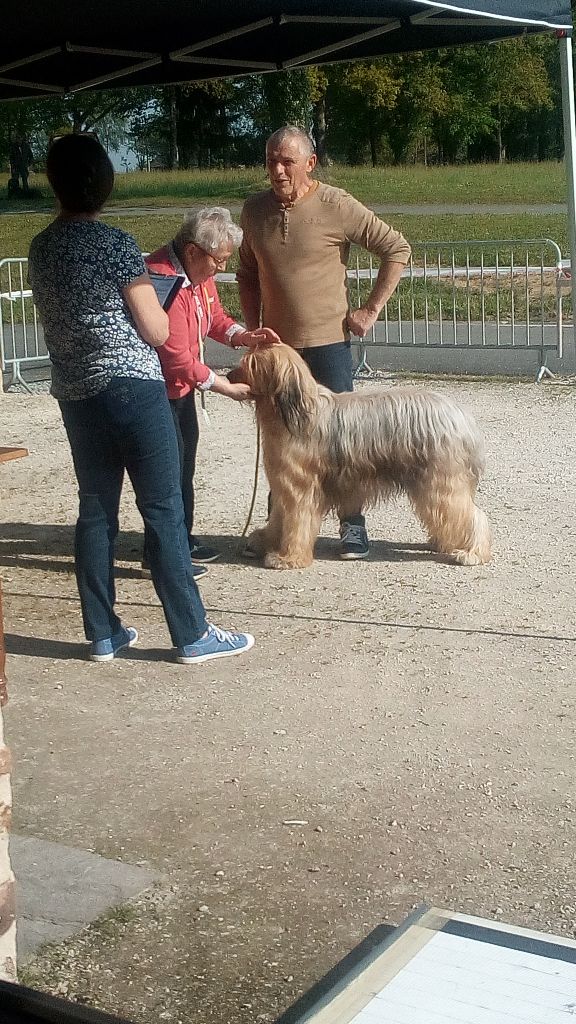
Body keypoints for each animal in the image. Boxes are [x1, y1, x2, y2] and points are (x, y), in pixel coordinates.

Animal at [239, 342, 491, 569]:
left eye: (252, 365)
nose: (232, 375)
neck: (295, 412)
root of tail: (460, 416)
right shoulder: (284, 486)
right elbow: (278, 518)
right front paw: (265, 541)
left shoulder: (300, 490)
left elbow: (296, 524)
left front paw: (288, 559)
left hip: (442, 481)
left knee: (473, 515)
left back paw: (472, 553)